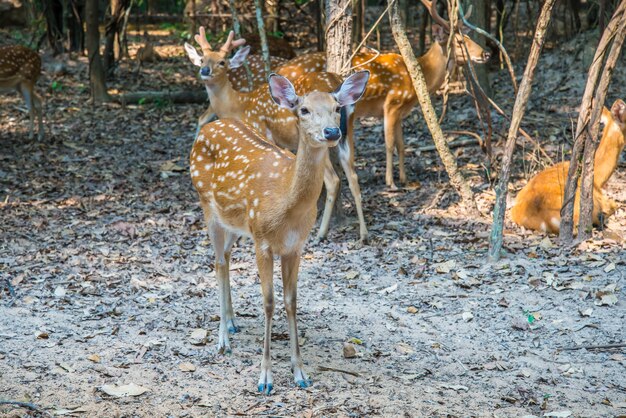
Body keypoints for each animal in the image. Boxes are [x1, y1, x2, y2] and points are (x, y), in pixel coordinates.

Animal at [185, 28, 370, 242]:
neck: (239, 105)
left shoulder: (263, 131)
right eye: (202, 59)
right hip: (348, 133)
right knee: (353, 176)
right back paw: (363, 234)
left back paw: (321, 233)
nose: (205, 71)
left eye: (222, 61)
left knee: (333, 180)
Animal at [188, 70, 368, 394]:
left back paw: (232, 322)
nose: (332, 132)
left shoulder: (295, 247)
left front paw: (300, 372)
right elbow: (269, 302)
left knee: (227, 257)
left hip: (237, 222)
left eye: (337, 107)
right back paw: (223, 340)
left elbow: (291, 301)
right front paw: (265, 378)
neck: (286, 204)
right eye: (303, 109)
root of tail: (210, 127)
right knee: (218, 262)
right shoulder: (262, 240)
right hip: (207, 206)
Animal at [274, 0, 488, 188]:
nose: (485, 53)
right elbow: (389, 143)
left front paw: (404, 179)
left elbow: (402, 144)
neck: (418, 77)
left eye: (468, 37)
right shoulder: (392, 103)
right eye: (459, 41)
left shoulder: (401, 112)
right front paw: (391, 182)